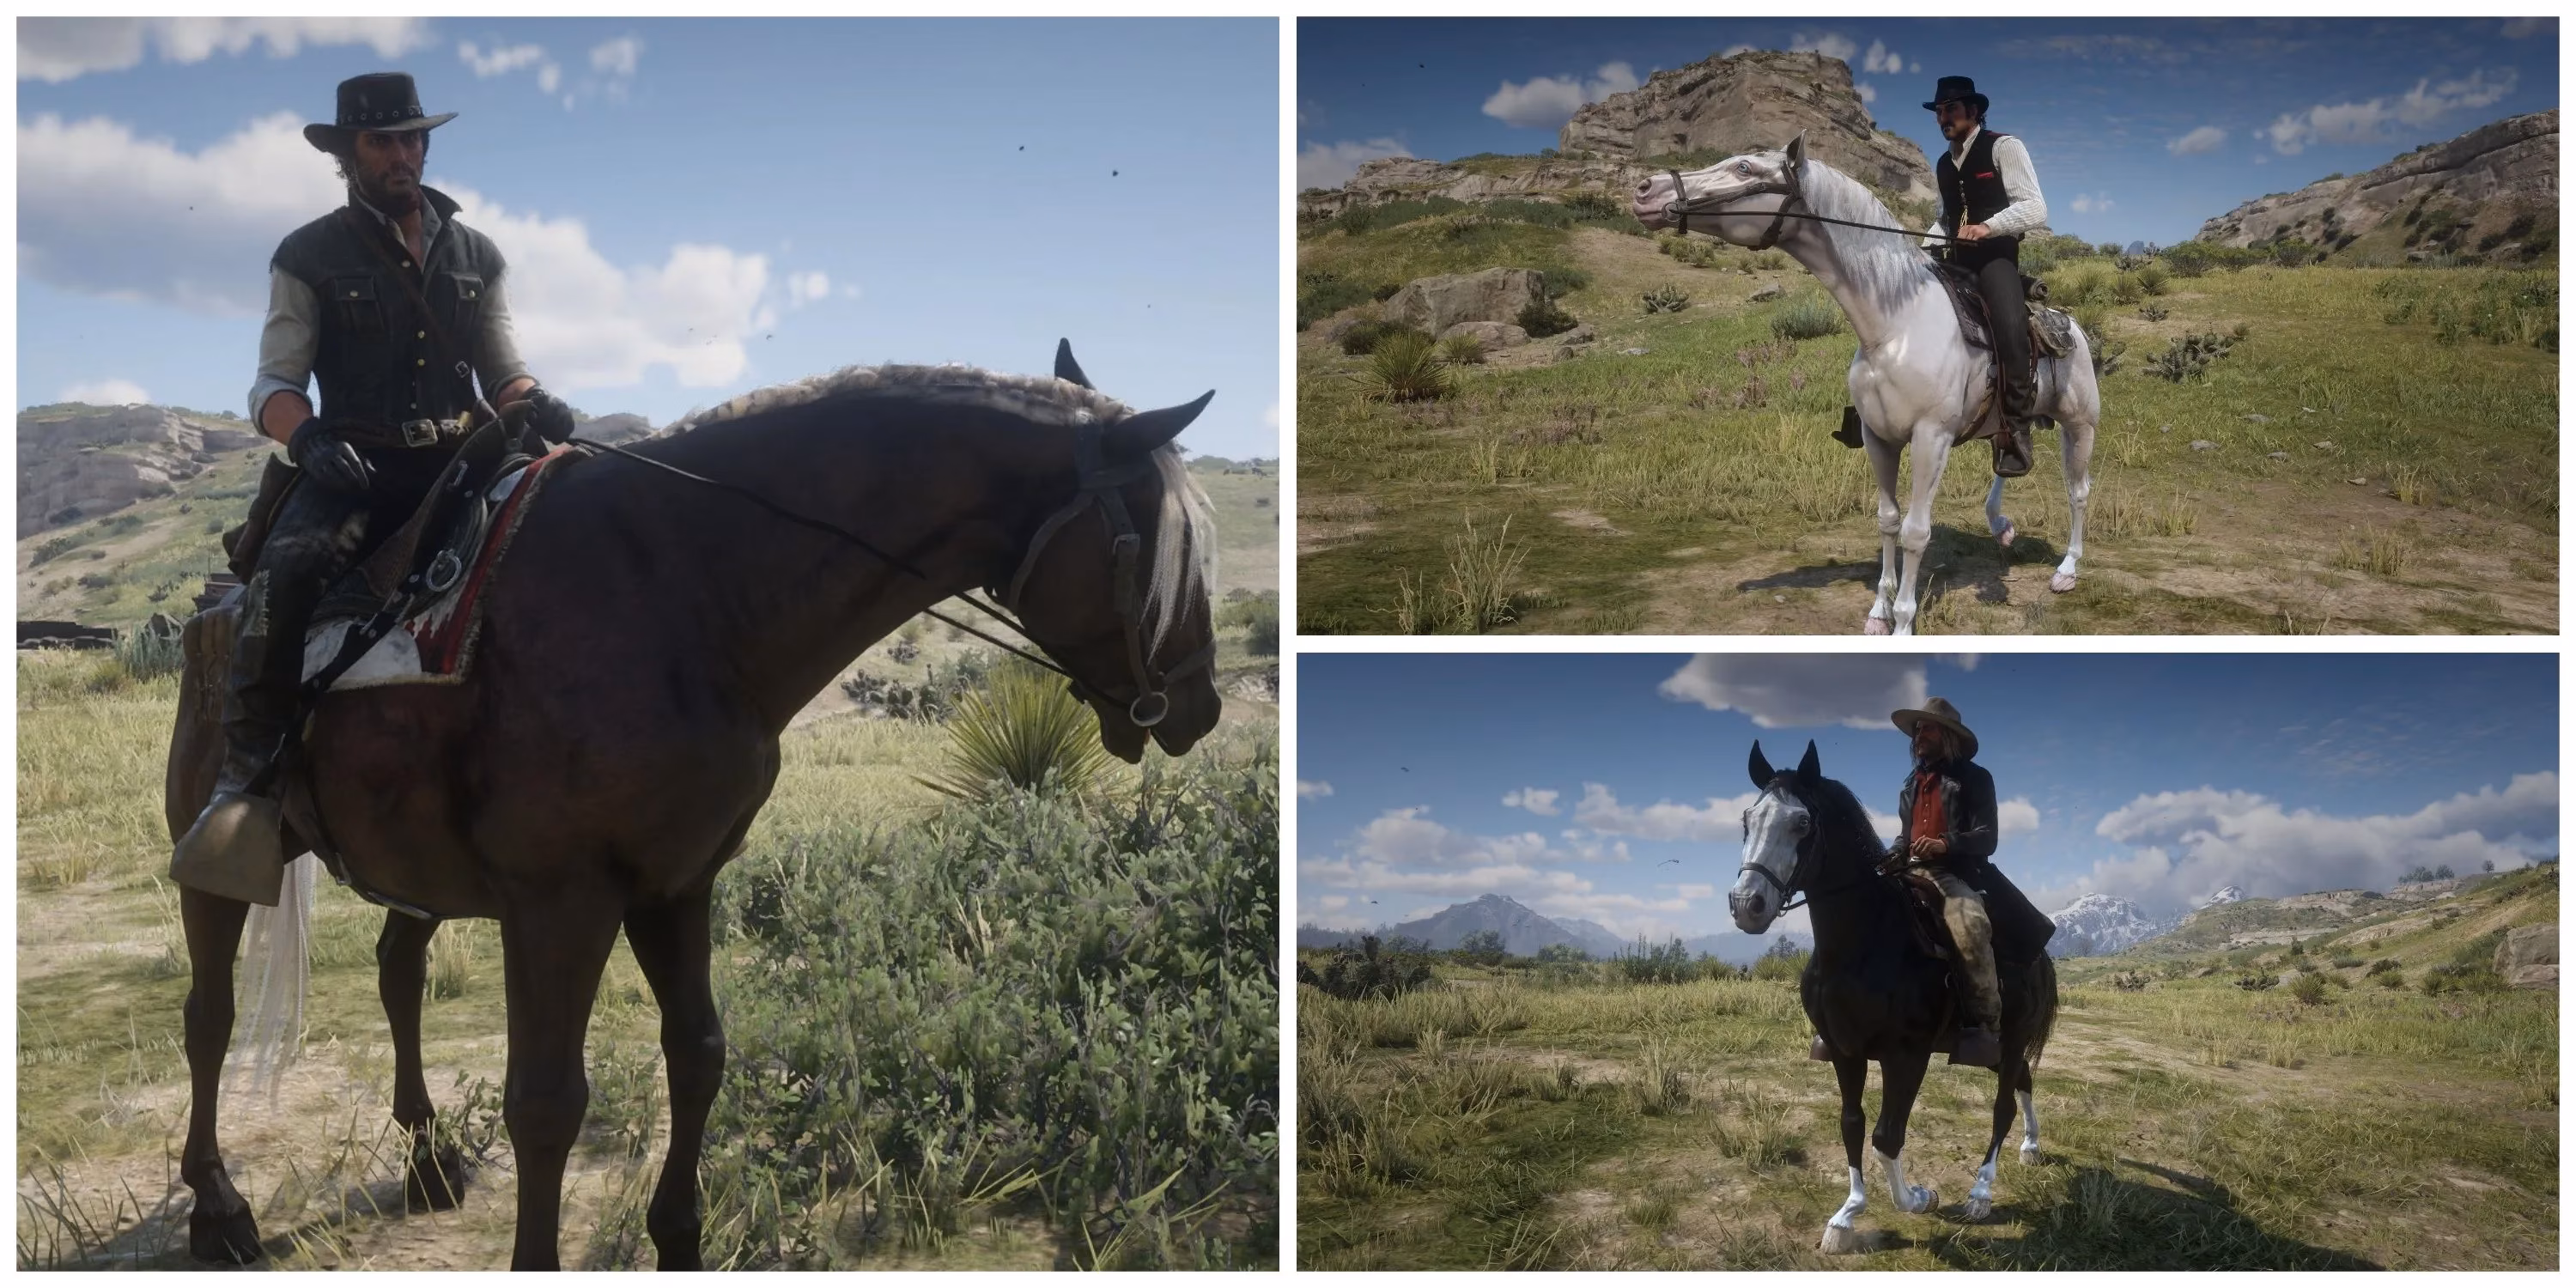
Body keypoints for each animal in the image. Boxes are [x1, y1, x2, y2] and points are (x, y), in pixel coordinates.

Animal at [162, 342, 1224, 1270]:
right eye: (1162, 545)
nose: (1199, 704)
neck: (685, 590)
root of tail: (224, 599)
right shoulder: (560, 902)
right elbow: (546, 1101)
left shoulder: (678, 884)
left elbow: (699, 1054)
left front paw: (681, 1237)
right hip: (210, 863)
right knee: (209, 1016)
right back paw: (219, 1208)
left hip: (412, 871)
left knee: (397, 975)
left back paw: (426, 1164)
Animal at [1632, 134, 2102, 636]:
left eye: (1744, 168)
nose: (1645, 190)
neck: (1894, 326)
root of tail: (2072, 326)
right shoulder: (1879, 438)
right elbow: (1888, 521)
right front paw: (1879, 610)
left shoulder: (1930, 439)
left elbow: (1916, 532)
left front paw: (1903, 622)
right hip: (2006, 423)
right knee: (2007, 460)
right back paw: (2002, 526)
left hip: (2079, 426)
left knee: (2078, 491)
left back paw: (2067, 570)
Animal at [1728, 740, 2057, 1253]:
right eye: (1748, 818)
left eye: (1802, 822)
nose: (1748, 905)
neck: (1864, 946)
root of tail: (2040, 957)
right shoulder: (1845, 1051)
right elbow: (1853, 1125)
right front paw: (1846, 1217)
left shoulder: (1907, 1056)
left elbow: (1887, 1137)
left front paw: (1919, 1198)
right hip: (1998, 1050)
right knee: (2023, 1078)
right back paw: (2031, 1147)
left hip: (2013, 1037)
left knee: (2003, 1106)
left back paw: (1981, 1192)